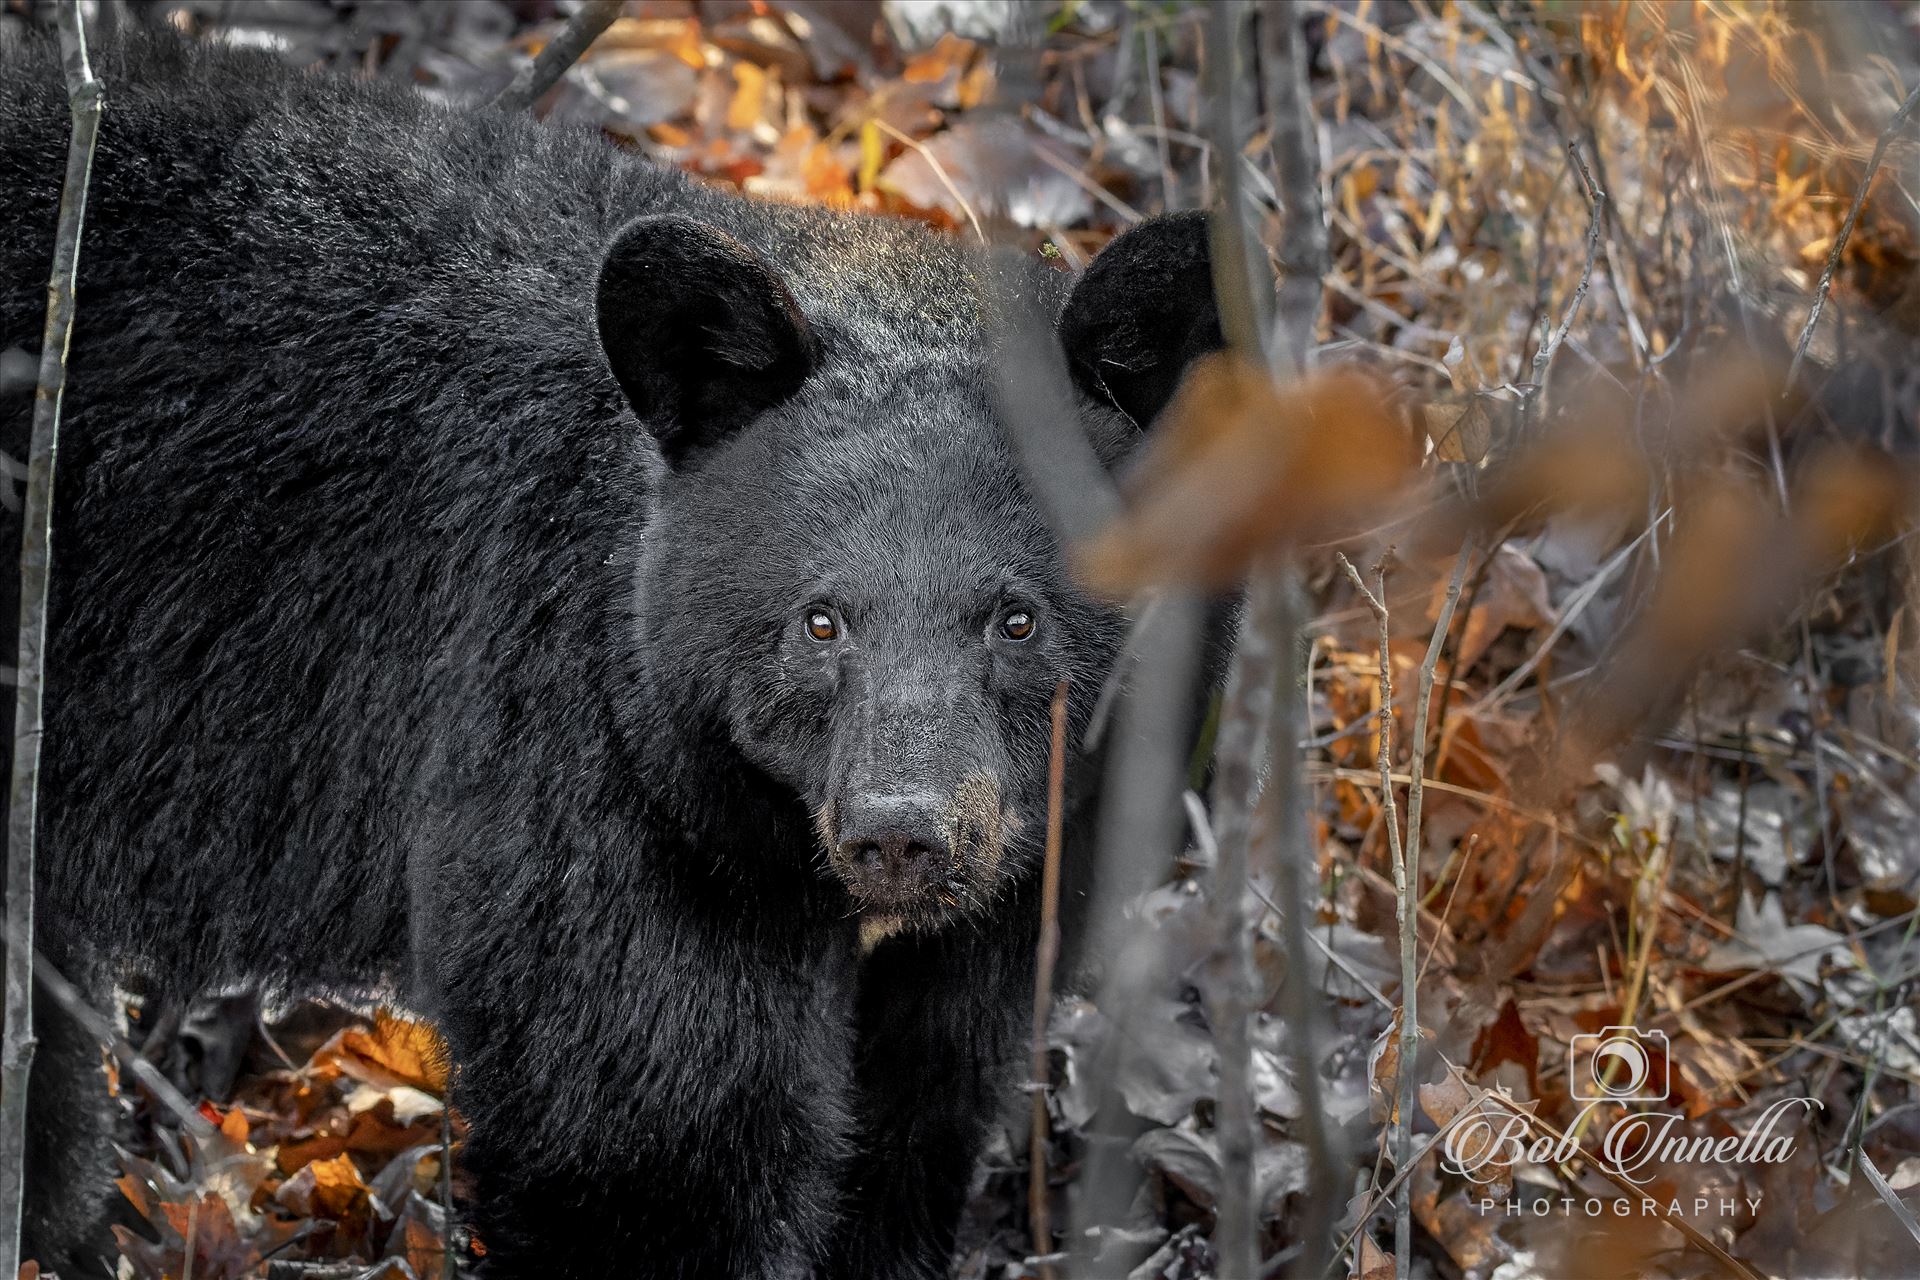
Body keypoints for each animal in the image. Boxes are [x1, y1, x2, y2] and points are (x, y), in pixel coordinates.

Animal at [0, 29, 1228, 1280]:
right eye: (819, 619)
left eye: (1017, 618)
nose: (900, 834)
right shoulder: (589, 771)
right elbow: (643, 1132)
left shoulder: (1023, 874)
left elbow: (917, 1106)